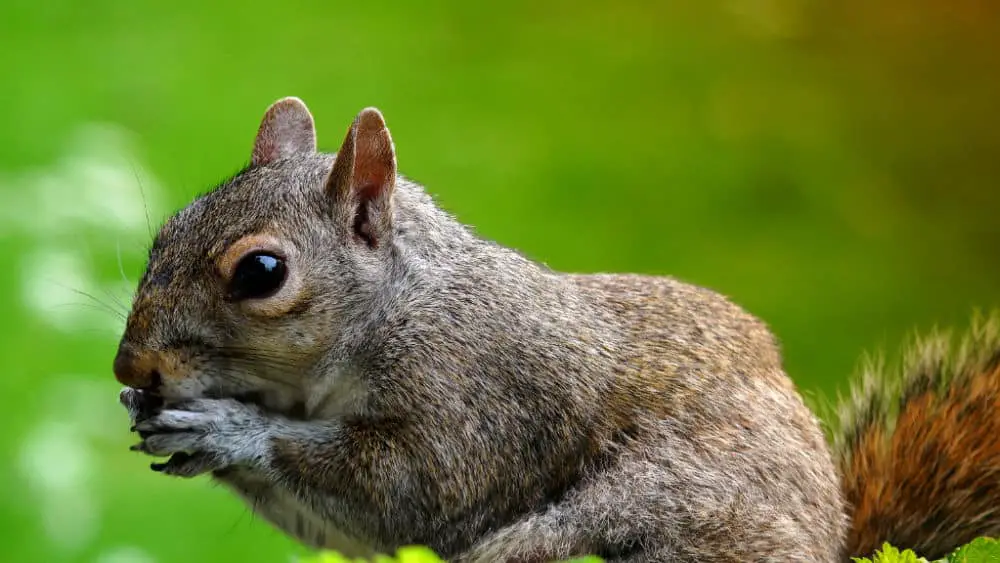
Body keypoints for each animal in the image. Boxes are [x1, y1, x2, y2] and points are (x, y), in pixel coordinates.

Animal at [113, 98, 1000, 563]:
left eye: (261, 272)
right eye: (164, 235)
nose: (131, 368)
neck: (400, 308)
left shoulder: (483, 400)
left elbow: (402, 487)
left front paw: (230, 429)